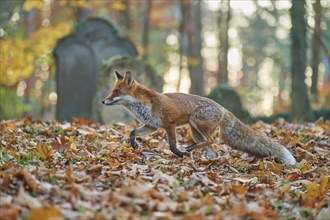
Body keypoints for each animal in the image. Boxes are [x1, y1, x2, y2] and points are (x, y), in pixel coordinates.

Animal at [101, 71, 296, 165]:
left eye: (116, 92)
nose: (103, 101)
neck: (146, 104)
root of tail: (223, 108)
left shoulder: (169, 125)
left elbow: (172, 146)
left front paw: (180, 154)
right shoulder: (152, 126)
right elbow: (133, 132)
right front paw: (134, 144)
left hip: (196, 122)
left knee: (211, 141)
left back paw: (191, 150)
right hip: (194, 131)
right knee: (213, 150)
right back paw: (205, 159)